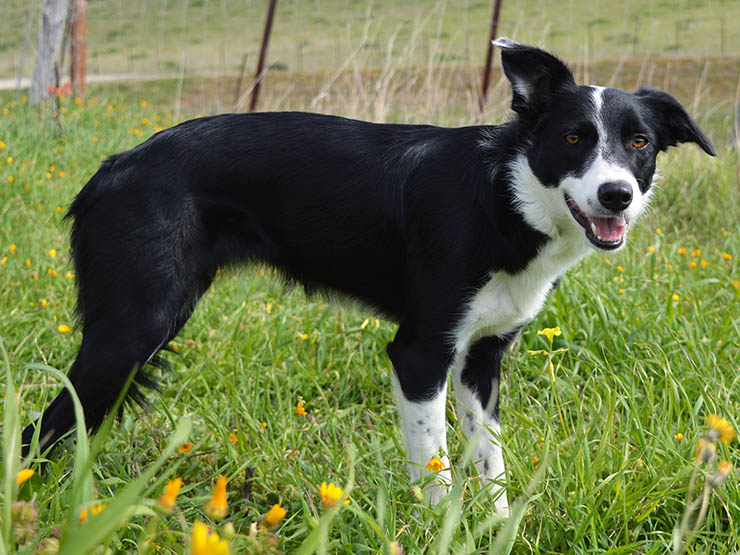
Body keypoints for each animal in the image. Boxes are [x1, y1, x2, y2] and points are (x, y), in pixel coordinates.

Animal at [22, 39, 715, 514]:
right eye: (573, 138)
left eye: (640, 143)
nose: (617, 195)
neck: (506, 194)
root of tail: (113, 166)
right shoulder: (419, 352)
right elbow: (436, 469)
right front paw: (441, 531)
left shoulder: (483, 360)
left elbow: (490, 465)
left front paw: (497, 528)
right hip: (131, 334)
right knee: (40, 431)